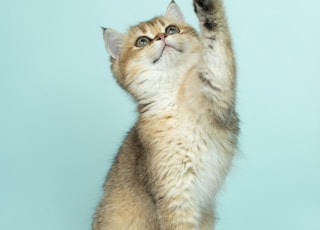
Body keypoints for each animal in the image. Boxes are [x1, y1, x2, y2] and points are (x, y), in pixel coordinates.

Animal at [92, 0, 238, 230]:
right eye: (142, 41)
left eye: (171, 29)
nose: (161, 37)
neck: (174, 96)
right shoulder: (174, 194)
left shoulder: (217, 92)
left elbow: (216, 41)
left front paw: (207, 5)